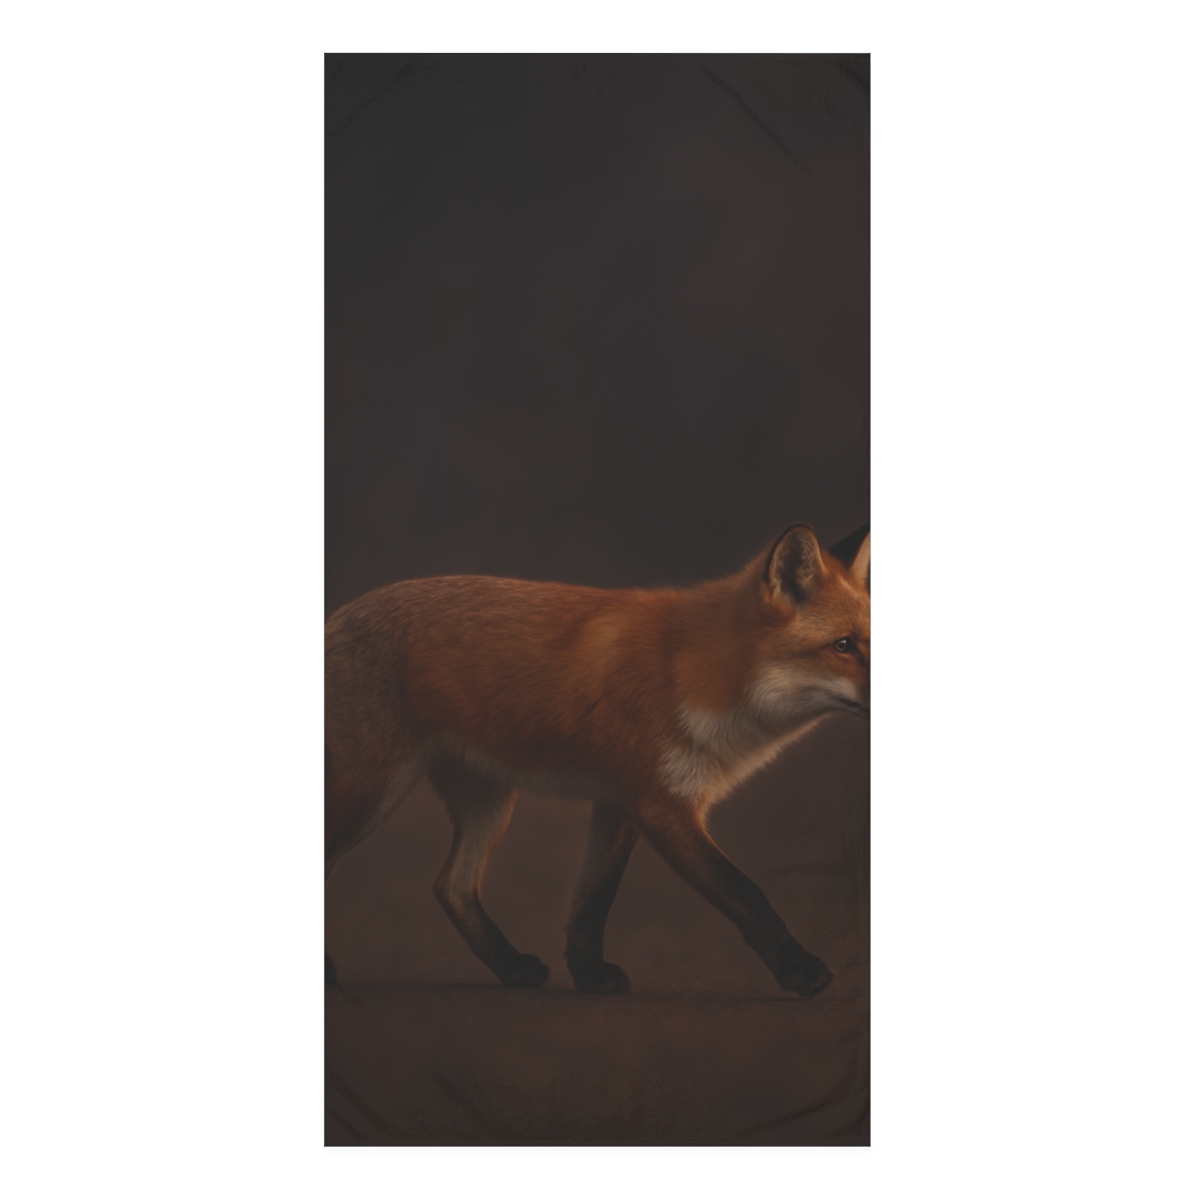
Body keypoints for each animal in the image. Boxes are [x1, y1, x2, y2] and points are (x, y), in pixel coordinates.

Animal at [325, 523, 869, 997]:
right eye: (843, 646)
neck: (701, 673)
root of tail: (339, 614)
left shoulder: (621, 800)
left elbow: (592, 900)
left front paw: (588, 976)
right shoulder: (661, 806)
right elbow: (746, 892)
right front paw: (801, 972)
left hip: (490, 800)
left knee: (450, 886)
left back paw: (511, 967)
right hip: (372, 792)